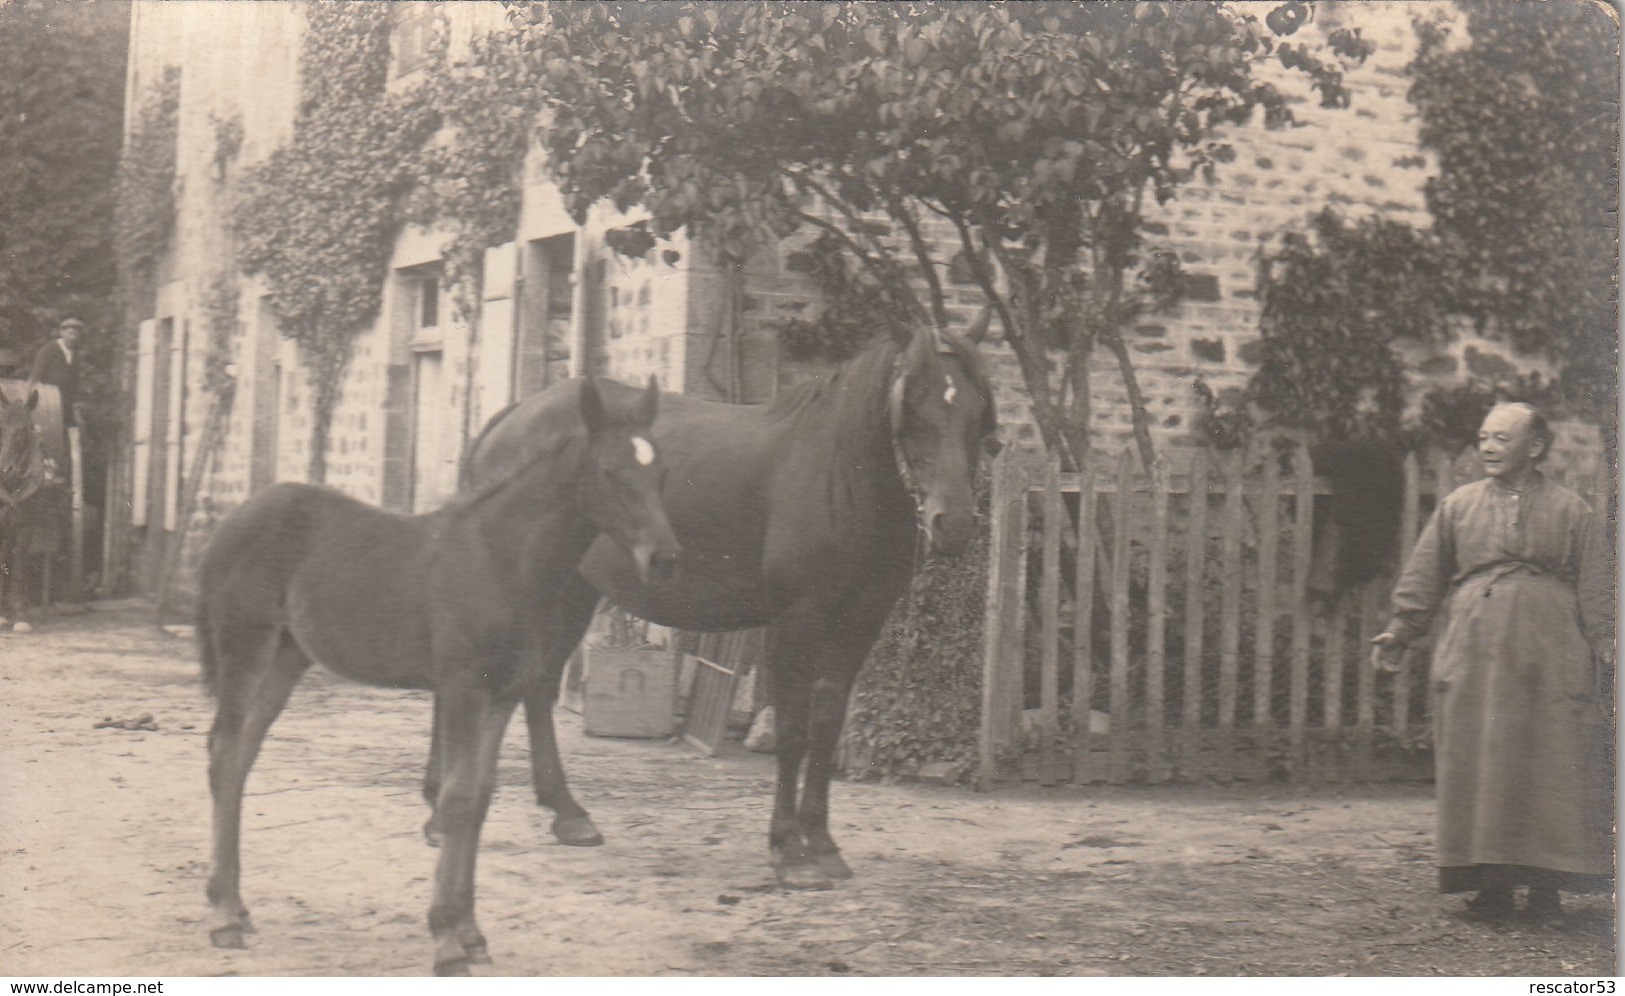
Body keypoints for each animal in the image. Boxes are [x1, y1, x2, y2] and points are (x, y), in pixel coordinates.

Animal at [198, 376, 679, 974]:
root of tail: (234, 518)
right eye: (611, 472)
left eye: (662, 473)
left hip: (287, 659)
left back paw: (237, 908)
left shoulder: (503, 694)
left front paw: (471, 933)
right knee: (224, 753)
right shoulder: (463, 689)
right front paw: (447, 942)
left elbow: (478, 800)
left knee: (240, 757)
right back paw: (223, 915)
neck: (502, 560)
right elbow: (453, 799)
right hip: (245, 647)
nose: (664, 558)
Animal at [464, 318, 994, 883]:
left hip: (575, 593)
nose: (954, 521)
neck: (838, 472)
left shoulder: (860, 621)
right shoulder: (796, 620)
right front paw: (788, 848)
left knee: (539, 687)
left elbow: (826, 724)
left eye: (977, 408)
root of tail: (513, 416)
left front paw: (822, 842)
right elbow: (792, 729)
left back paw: (567, 814)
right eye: (910, 403)